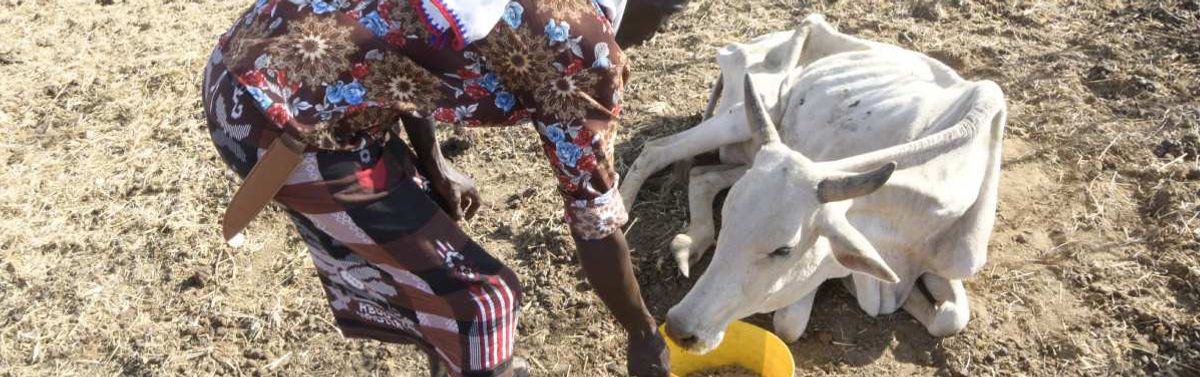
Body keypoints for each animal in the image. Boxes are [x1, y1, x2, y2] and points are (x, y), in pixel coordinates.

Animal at [624, 14, 1008, 350]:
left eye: (784, 250)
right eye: (728, 220)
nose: (680, 327)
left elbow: (950, 318)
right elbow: (790, 324)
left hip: (749, 152)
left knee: (702, 176)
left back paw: (691, 240)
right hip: (739, 118)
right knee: (657, 149)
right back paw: (624, 211)